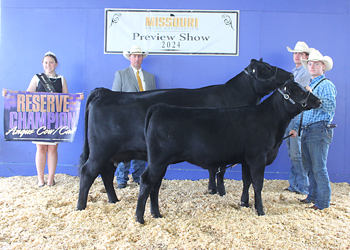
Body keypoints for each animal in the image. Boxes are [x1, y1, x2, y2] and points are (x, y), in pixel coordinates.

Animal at [76, 59, 292, 211]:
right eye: (266, 68)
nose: (290, 74)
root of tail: (105, 92)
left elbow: (213, 169)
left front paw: (212, 189)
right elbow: (220, 170)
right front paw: (220, 191)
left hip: (112, 153)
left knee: (105, 173)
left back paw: (113, 200)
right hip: (101, 150)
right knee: (88, 172)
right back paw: (81, 206)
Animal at [135, 80, 322, 225]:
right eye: (299, 90)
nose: (319, 101)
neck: (271, 120)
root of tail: (160, 107)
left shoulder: (247, 160)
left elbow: (247, 181)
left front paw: (245, 203)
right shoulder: (258, 157)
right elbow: (258, 183)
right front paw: (260, 210)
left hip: (161, 162)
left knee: (155, 184)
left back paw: (156, 214)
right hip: (158, 159)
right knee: (147, 181)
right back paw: (139, 218)